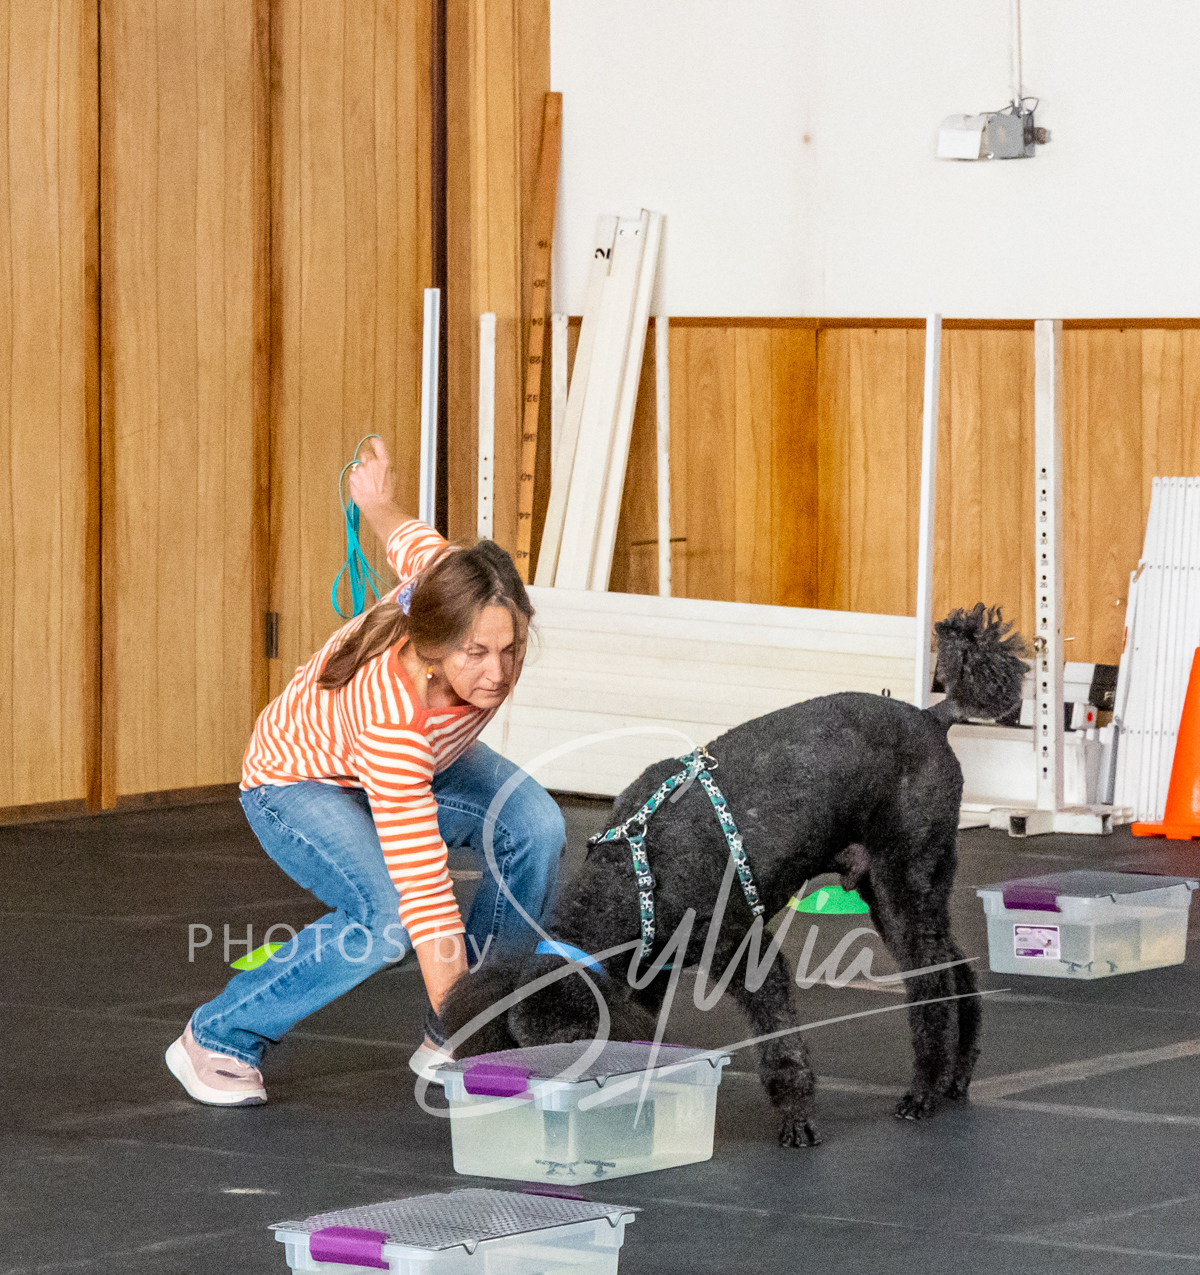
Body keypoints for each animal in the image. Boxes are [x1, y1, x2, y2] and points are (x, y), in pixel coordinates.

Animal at [437, 605, 1027, 1147]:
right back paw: (955, 1076)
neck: (631, 884)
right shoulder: (649, 978)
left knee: (932, 984)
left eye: (574, 1046)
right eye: (528, 1049)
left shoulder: (750, 954)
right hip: (896, 891)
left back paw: (923, 1090)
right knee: (955, 970)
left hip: (904, 879)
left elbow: (781, 1046)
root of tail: (934, 716)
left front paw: (796, 1118)